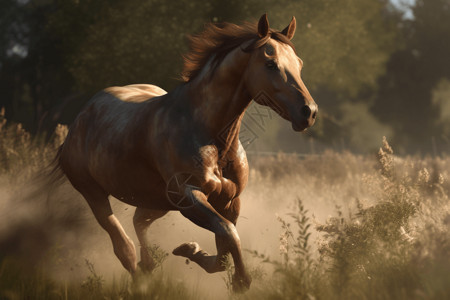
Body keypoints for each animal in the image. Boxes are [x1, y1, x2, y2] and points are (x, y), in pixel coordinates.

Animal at [55, 13, 316, 290]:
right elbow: (228, 233)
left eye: (299, 64)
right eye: (270, 64)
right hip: (94, 195)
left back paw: (150, 264)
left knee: (139, 222)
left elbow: (224, 248)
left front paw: (190, 250)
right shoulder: (189, 197)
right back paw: (140, 280)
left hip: (156, 201)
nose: (309, 112)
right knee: (124, 248)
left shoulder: (229, 200)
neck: (210, 136)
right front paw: (239, 280)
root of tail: (80, 120)